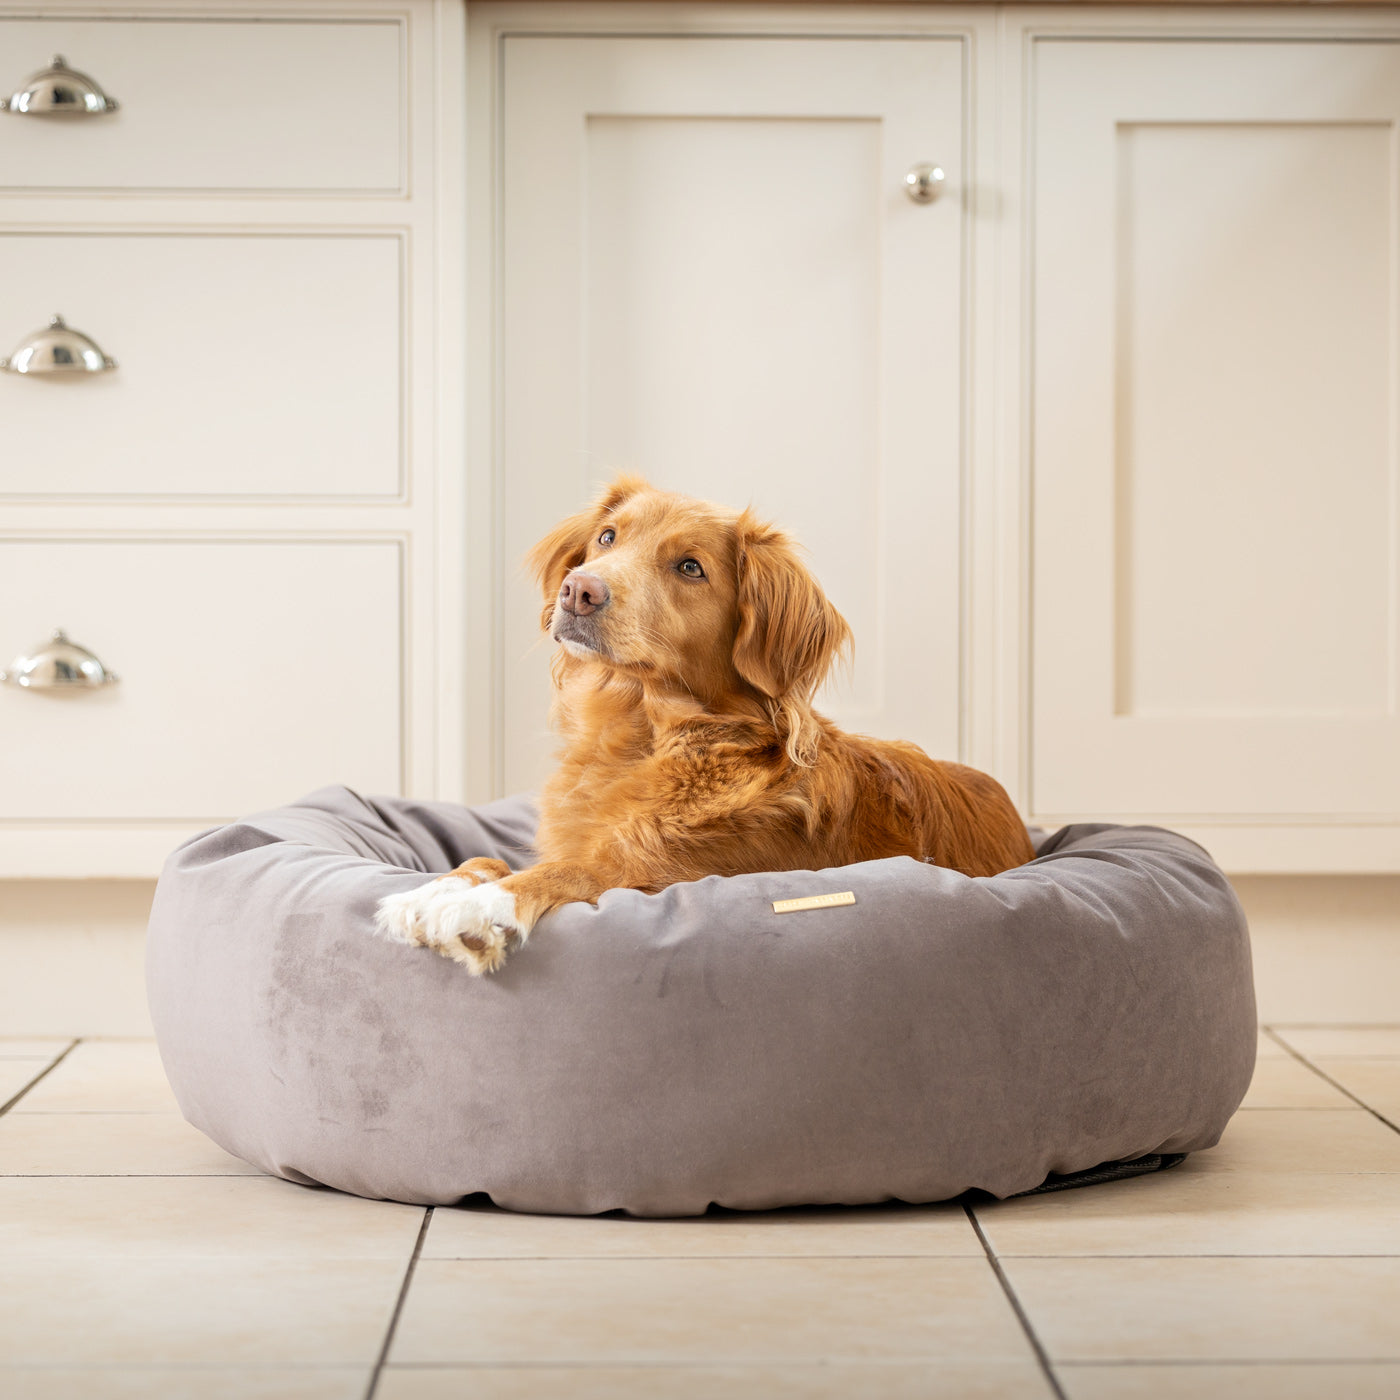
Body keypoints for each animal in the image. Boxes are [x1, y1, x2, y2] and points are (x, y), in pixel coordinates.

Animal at [378, 478, 1036, 974]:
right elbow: (488, 858)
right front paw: (437, 888)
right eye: (607, 538)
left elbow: (584, 868)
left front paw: (483, 908)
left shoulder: (692, 871)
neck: (643, 734)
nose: (578, 590)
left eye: (690, 567)